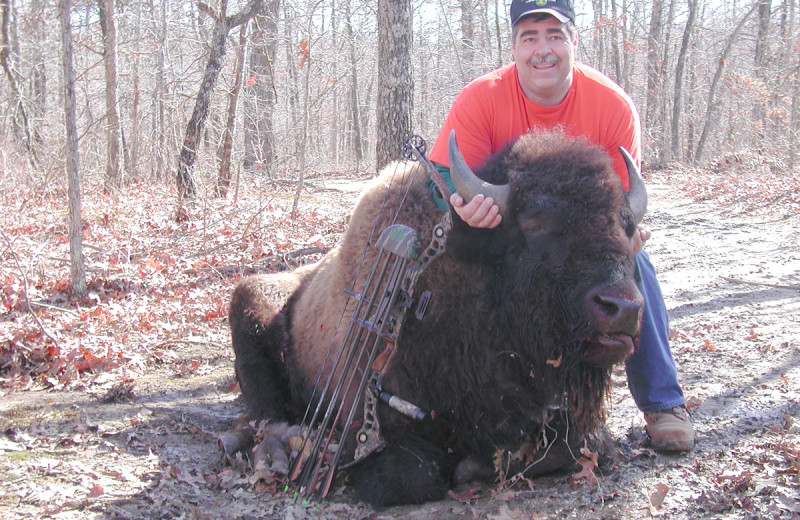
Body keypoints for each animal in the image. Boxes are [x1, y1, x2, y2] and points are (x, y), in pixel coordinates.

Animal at [223, 130, 644, 508]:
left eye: (627, 226)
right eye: (536, 222)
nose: (623, 307)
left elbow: (584, 445)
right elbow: (418, 475)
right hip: (250, 305)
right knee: (263, 412)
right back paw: (279, 450)